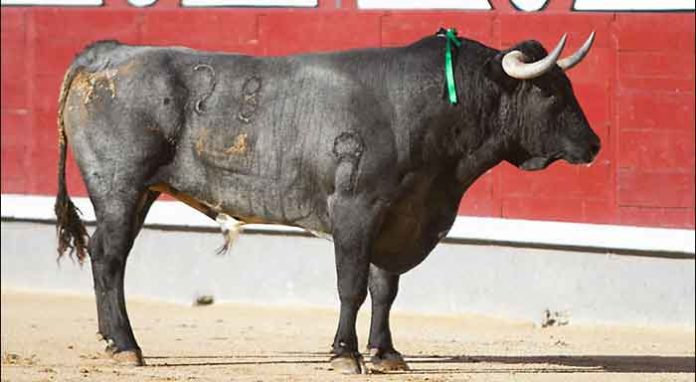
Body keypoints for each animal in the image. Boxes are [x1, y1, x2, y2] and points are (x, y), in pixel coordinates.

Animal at [54, 29, 600, 374]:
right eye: (550, 92)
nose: (593, 145)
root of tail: (106, 53)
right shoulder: (355, 209)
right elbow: (352, 285)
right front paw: (345, 354)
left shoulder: (400, 215)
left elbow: (385, 288)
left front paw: (386, 353)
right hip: (119, 186)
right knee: (110, 258)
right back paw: (128, 346)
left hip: (138, 194)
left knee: (107, 257)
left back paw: (112, 341)